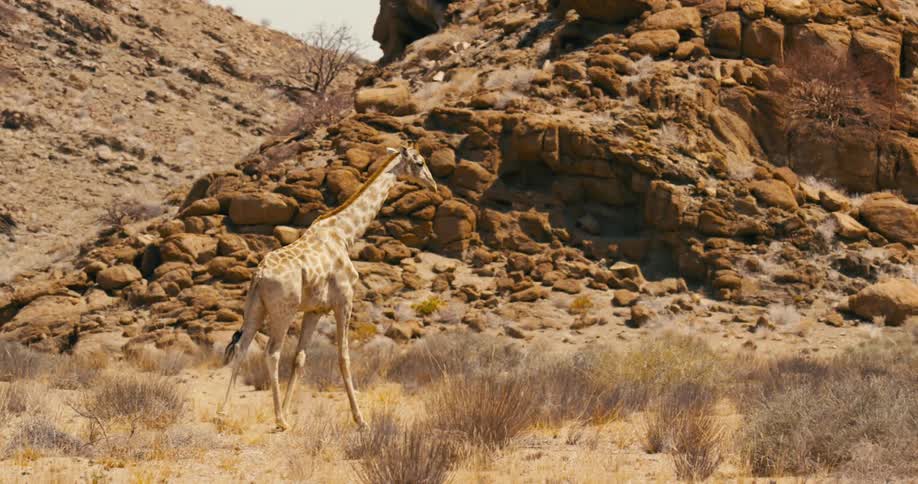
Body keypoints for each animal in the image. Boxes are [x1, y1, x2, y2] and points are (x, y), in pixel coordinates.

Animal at [220, 145, 437, 431]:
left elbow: (299, 358)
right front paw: (360, 419)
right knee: (272, 352)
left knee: (242, 349)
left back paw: (225, 412)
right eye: (420, 162)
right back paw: (279, 420)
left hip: (255, 308)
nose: (434, 184)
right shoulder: (344, 300)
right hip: (282, 311)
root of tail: (259, 275)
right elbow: (344, 357)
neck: (345, 234)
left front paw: (289, 409)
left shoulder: (315, 310)